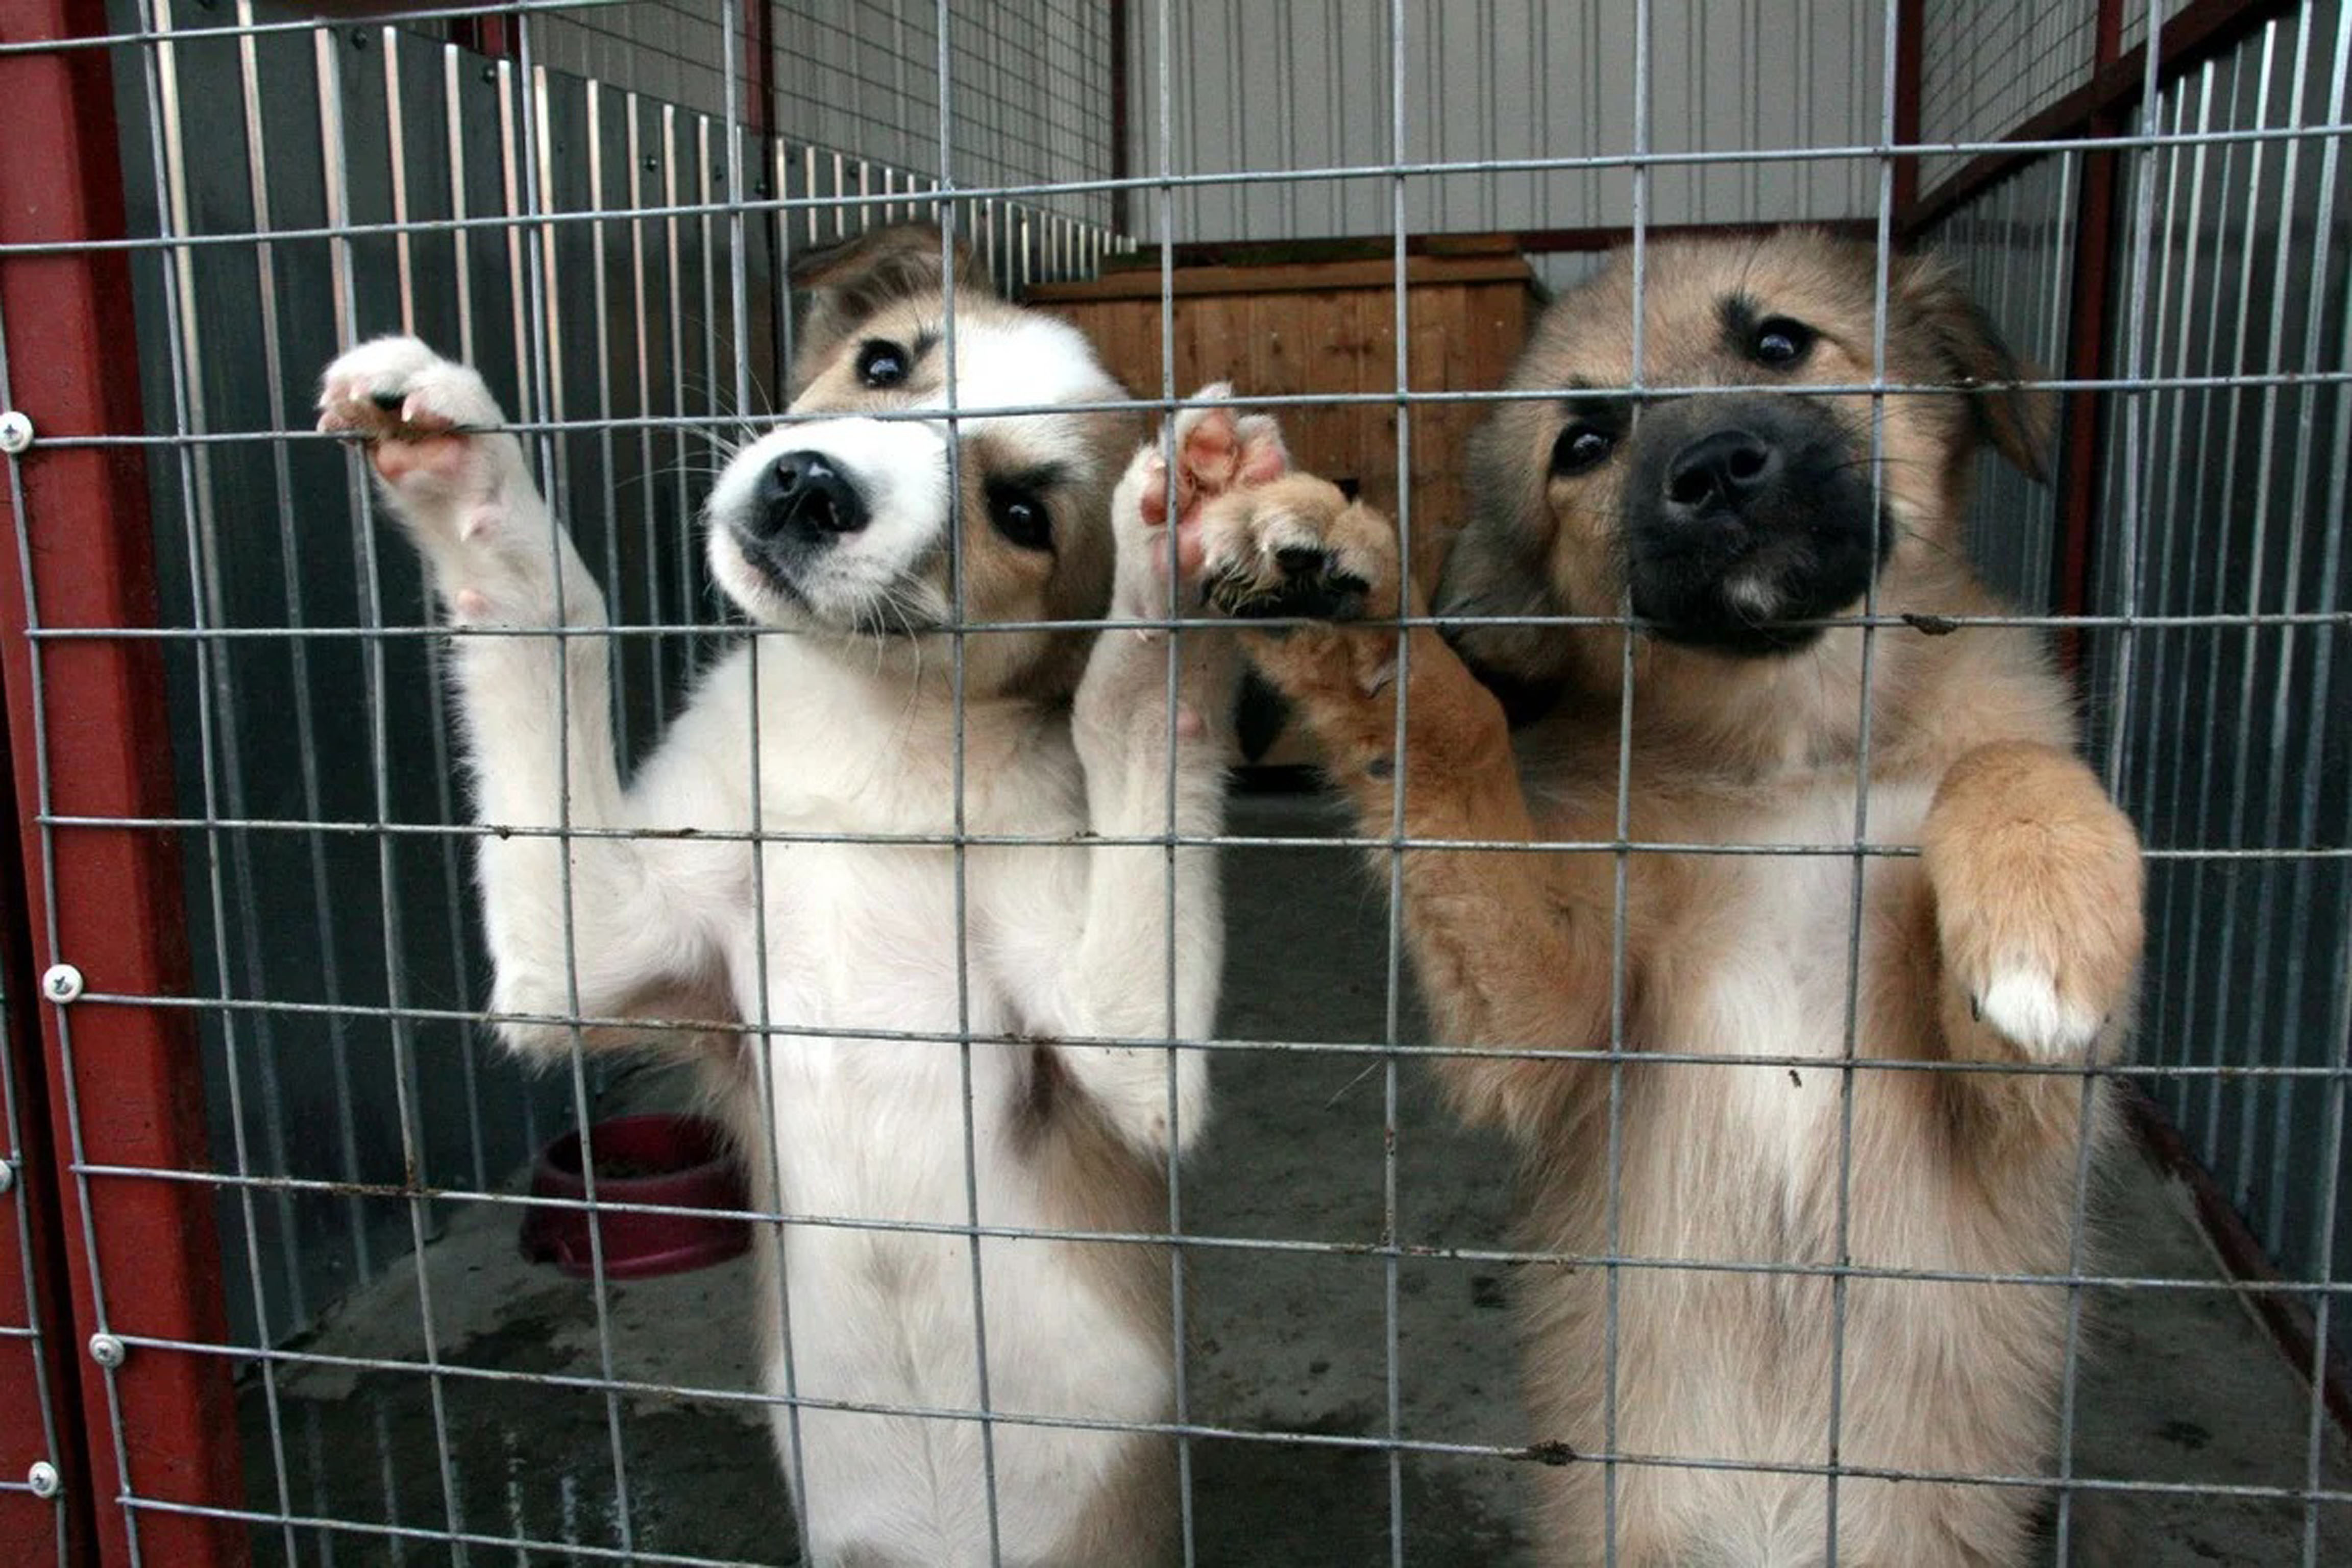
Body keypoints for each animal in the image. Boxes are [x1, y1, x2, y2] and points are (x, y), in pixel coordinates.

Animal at [312, 223, 1289, 1568]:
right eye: (883, 362)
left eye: (1021, 513)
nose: (809, 486)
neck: (865, 732)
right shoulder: (587, 954)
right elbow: (550, 611)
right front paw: (465, 471)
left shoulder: (1135, 1057)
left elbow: (1133, 707)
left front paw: (1173, 573)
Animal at [1185, 232, 2145, 1568]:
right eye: (1583, 443)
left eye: (1781, 343)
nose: (1715, 471)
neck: (1793, 750)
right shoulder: (1559, 1022)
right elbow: (1454, 732)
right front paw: (1336, 591)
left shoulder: (2020, 1112)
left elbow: (2003, 761)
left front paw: (2042, 921)